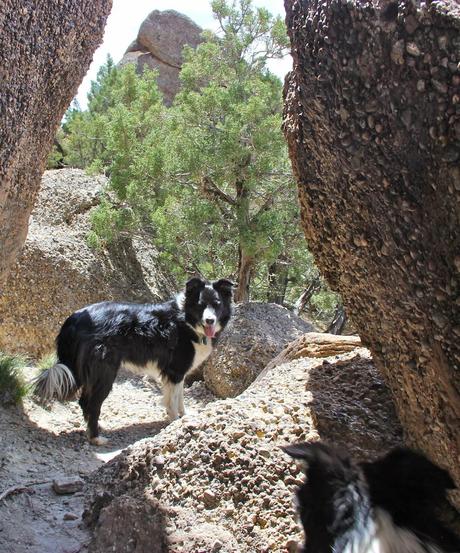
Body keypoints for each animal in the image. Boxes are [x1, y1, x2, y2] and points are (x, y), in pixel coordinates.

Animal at [32, 276, 234, 444]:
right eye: (200, 305)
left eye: (217, 304)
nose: (210, 321)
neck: (186, 320)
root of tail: (73, 319)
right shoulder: (176, 370)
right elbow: (175, 399)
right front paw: (176, 421)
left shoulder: (176, 372)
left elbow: (179, 397)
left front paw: (183, 416)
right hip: (105, 372)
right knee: (91, 403)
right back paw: (96, 437)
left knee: (84, 402)